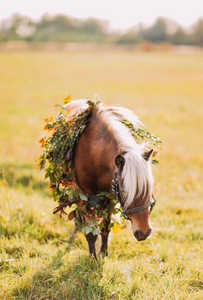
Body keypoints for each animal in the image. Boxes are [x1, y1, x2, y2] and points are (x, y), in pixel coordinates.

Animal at [64, 99, 156, 258]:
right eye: (125, 190)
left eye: (149, 189)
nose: (144, 232)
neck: (94, 151)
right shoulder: (85, 196)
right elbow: (91, 233)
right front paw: (93, 258)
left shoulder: (110, 196)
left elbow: (105, 228)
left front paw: (104, 253)